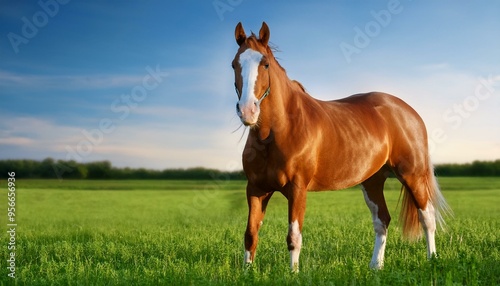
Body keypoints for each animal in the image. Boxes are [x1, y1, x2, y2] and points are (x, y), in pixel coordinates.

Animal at [232, 21, 452, 272]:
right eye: (234, 65)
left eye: (265, 64)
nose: (247, 111)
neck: (278, 131)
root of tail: (409, 112)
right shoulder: (256, 189)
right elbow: (250, 235)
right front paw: (247, 273)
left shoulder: (297, 189)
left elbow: (294, 237)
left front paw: (293, 273)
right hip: (372, 181)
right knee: (382, 220)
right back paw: (375, 266)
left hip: (412, 175)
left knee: (427, 217)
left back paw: (432, 259)